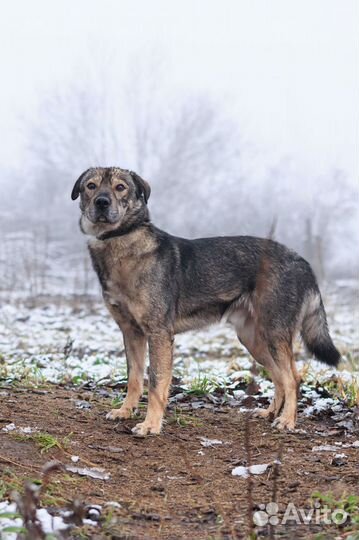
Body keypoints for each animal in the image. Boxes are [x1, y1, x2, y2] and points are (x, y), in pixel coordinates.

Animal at [71, 167, 342, 436]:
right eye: (91, 186)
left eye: (120, 187)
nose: (102, 202)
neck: (121, 242)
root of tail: (302, 261)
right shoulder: (131, 333)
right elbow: (134, 379)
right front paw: (125, 411)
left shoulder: (159, 334)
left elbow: (156, 383)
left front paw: (151, 425)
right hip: (254, 340)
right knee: (278, 377)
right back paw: (270, 413)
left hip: (274, 334)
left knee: (292, 378)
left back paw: (287, 421)